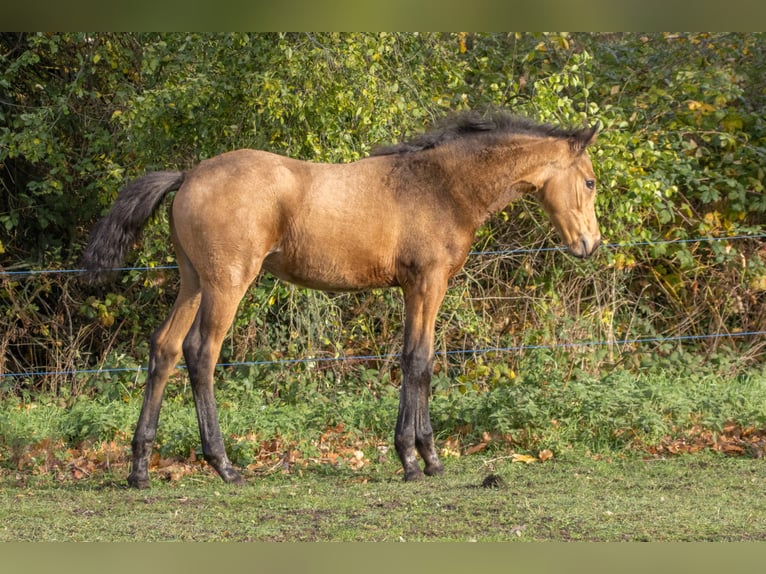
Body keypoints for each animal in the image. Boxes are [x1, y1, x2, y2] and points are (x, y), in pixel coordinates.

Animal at [81, 110, 601, 488]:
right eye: (591, 181)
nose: (591, 245)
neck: (440, 185)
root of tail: (189, 175)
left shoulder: (415, 289)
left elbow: (419, 359)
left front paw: (427, 458)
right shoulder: (427, 284)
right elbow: (417, 361)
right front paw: (415, 460)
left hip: (193, 282)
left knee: (164, 349)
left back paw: (140, 469)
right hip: (227, 284)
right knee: (200, 353)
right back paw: (224, 465)